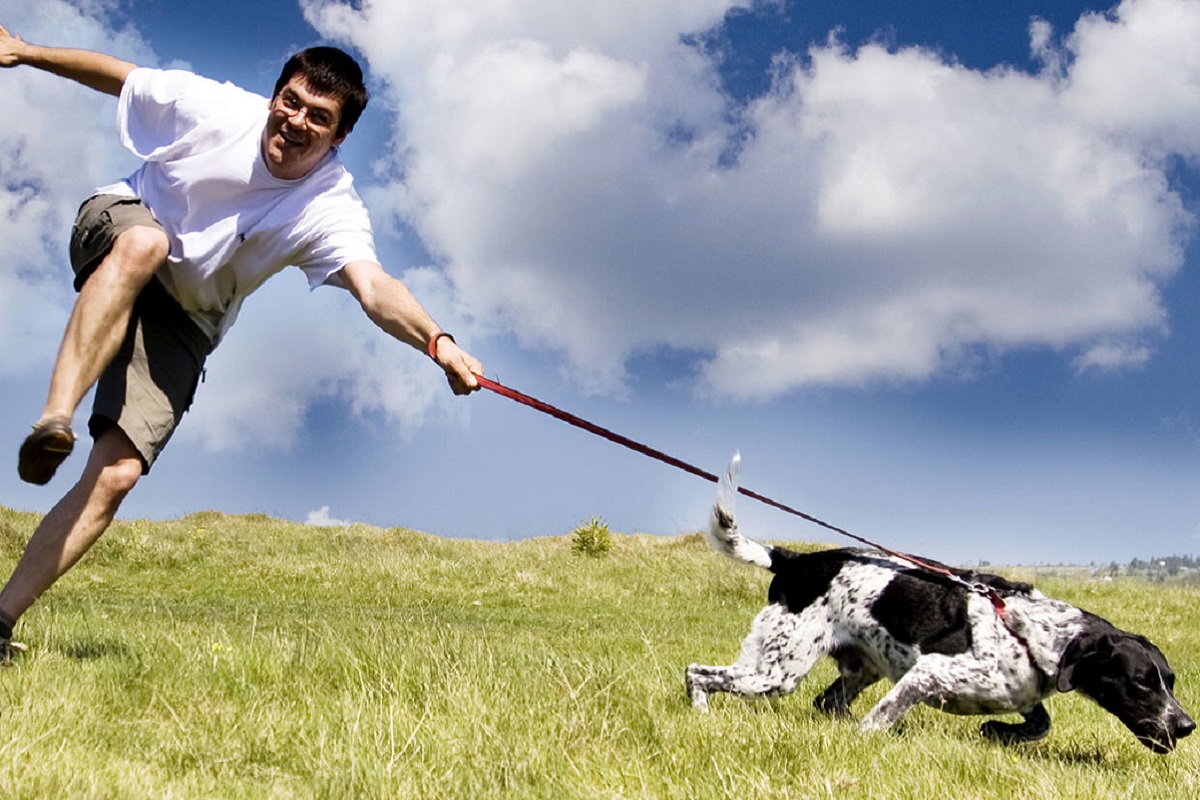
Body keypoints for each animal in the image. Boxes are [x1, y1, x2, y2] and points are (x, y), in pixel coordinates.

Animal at [686, 460, 1190, 753]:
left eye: (1169, 680)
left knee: (826, 702)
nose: (1186, 726)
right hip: (777, 671)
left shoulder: (1020, 695)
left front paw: (998, 732)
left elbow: (1040, 723)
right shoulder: (927, 674)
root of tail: (794, 560)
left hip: (853, 669)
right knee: (697, 673)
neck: (1031, 634)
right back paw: (700, 715)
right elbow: (880, 719)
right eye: (1141, 682)